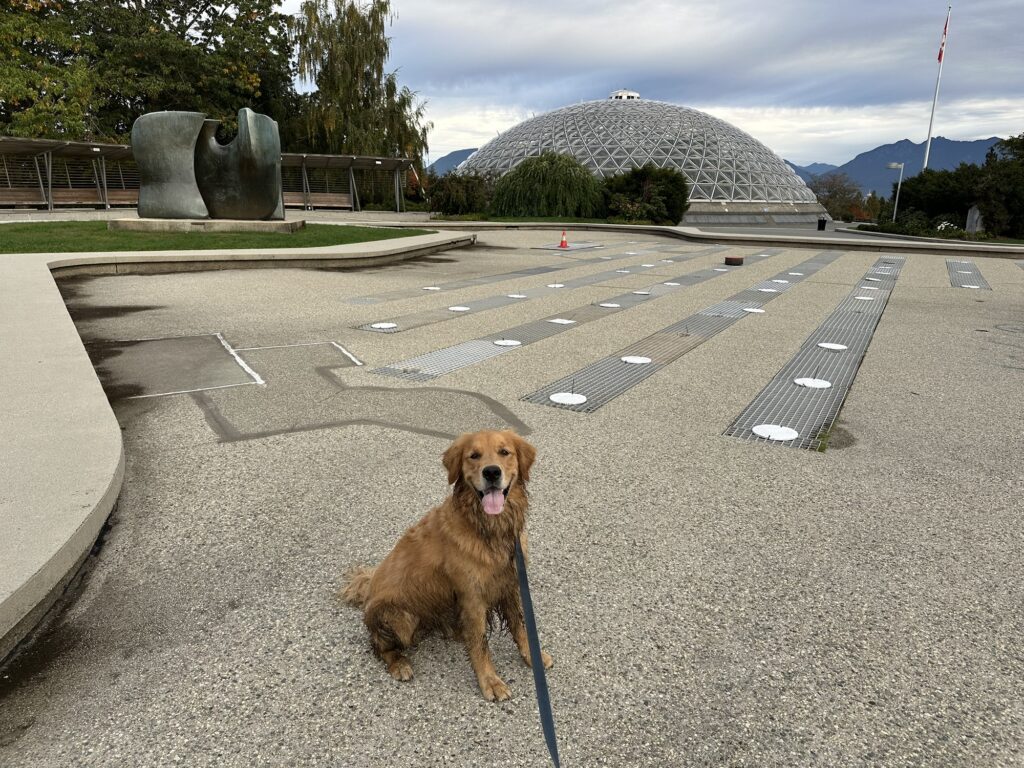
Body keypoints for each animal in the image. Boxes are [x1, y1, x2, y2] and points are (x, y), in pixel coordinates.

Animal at [342, 430, 552, 700]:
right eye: (474, 455)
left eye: (504, 452)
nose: (491, 472)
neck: (489, 530)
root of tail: (368, 587)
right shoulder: (472, 596)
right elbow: (480, 643)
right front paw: (490, 681)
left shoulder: (510, 584)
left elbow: (520, 625)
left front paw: (531, 656)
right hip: (399, 618)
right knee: (378, 645)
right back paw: (399, 663)